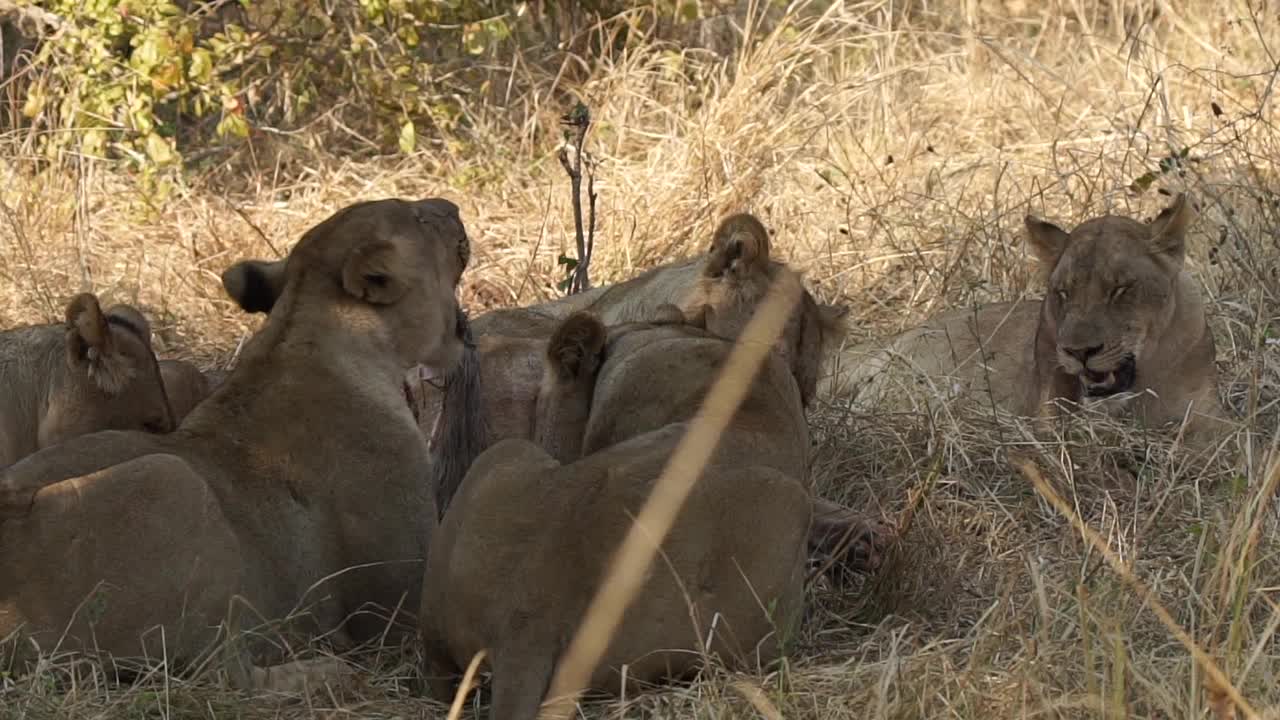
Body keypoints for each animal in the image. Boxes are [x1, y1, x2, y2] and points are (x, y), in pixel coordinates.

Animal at [824, 193, 1233, 440]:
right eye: (1063, 292)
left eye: (1120, 289)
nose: (1079, 353)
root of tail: (897, 337)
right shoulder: (1050, 421)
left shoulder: (1212, 418)